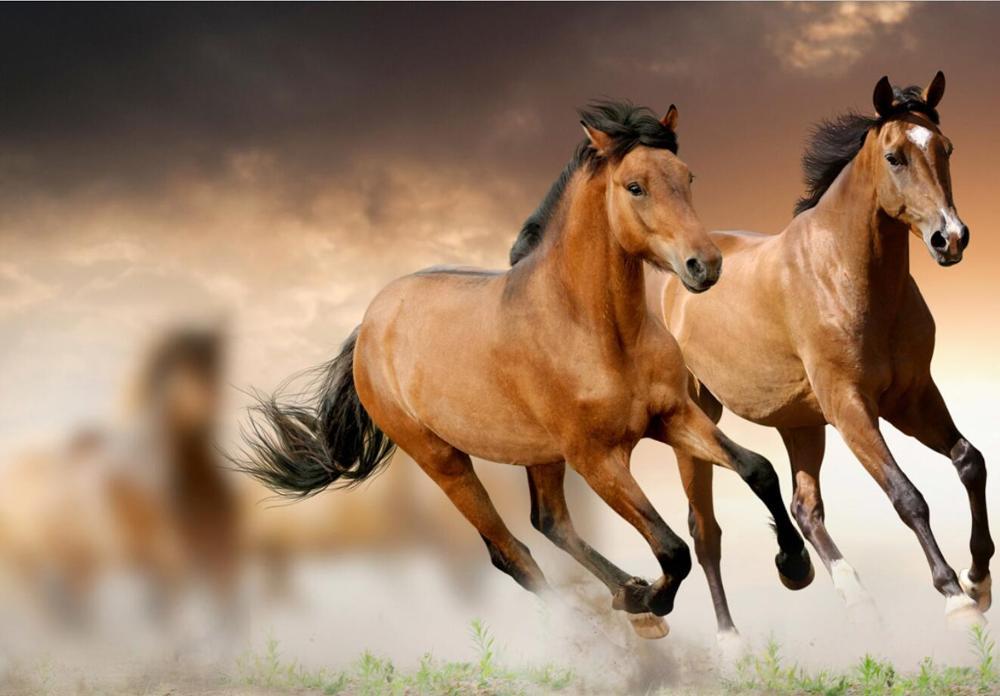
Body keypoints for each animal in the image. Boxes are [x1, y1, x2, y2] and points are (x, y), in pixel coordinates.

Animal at [238, 100, 811, 640]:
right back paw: (609, 622)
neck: (598, 330)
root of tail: (369, 325)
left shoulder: (672, 416)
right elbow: (672, 549)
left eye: (688, 177)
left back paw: (627, 595)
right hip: (443, 459)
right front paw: (652, 600)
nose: (705, 266)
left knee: (549, 521)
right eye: (635, 187)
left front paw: (794, 566)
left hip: (540, 454)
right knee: (511, 552)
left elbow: (758, 469)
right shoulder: (597, 458)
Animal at [657, 72, 992, 634]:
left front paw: (979, 579)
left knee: (803, 508)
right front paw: (955, 598)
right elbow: (907, 496)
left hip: (800, 424)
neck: (845, 274)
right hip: (697, 421)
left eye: (945, 148)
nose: (951, 239)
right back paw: (731, 641)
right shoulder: (851, 406)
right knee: (705, 532)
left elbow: (970, 461)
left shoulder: (912, 397)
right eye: (895, 156)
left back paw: (846, 593)